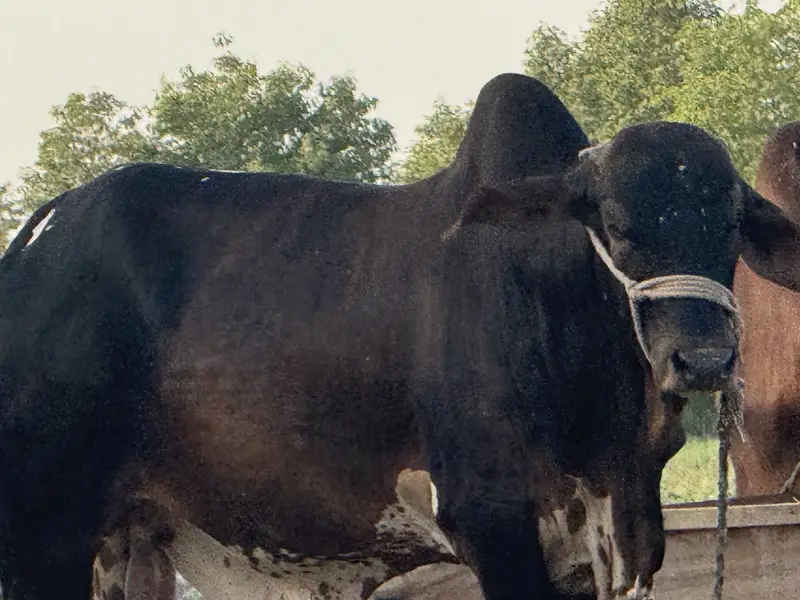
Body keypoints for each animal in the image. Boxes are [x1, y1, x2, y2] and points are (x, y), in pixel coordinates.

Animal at [3, 72, 800, 600]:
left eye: (731, 222)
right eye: (615, 221)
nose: (703, 360)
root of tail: (34, 239)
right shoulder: (491, 520)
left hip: (131, 538)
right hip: (45, 534)